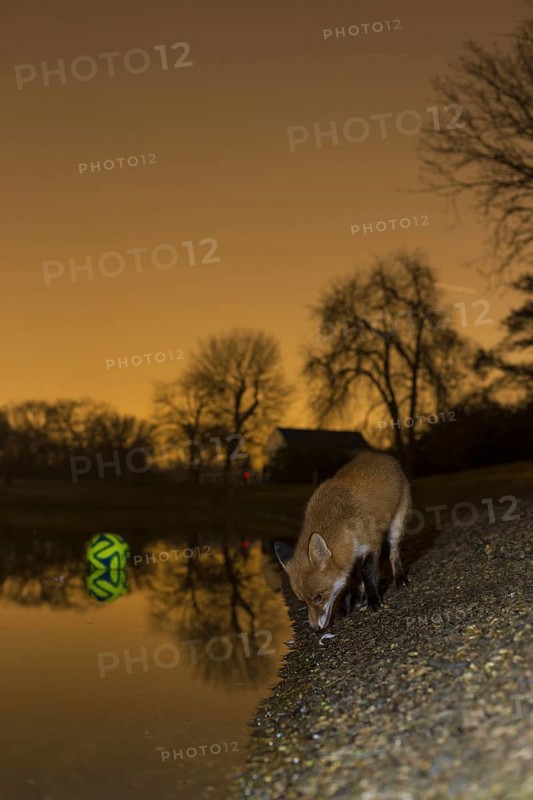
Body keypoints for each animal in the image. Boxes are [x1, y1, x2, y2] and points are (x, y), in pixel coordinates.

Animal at [274, 451, 411, 632]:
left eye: (319, 597)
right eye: (303, 601)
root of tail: (380, 454)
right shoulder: (349, 556)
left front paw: (374, 601)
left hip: (396, 528)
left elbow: (367, 571)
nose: (315, 629)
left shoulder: (372, 544)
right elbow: (348, 581)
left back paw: (400, 579)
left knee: (393, 554)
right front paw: (346, 606)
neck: (343, 524)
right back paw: (359, 595)